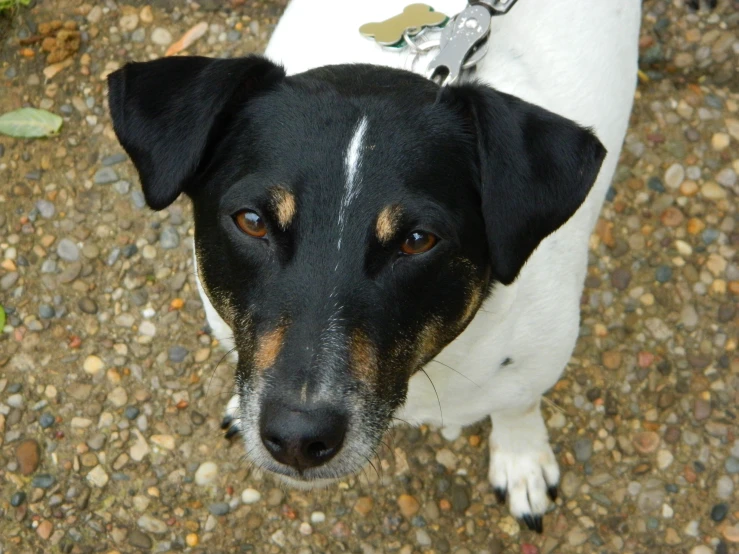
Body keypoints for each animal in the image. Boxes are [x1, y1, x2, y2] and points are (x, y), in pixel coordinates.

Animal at [108, 0, 640, 532]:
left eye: (418, 240)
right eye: (252, 221)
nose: (299, 438)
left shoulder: (536, 361)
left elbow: (518, 406)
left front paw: (522, 462)